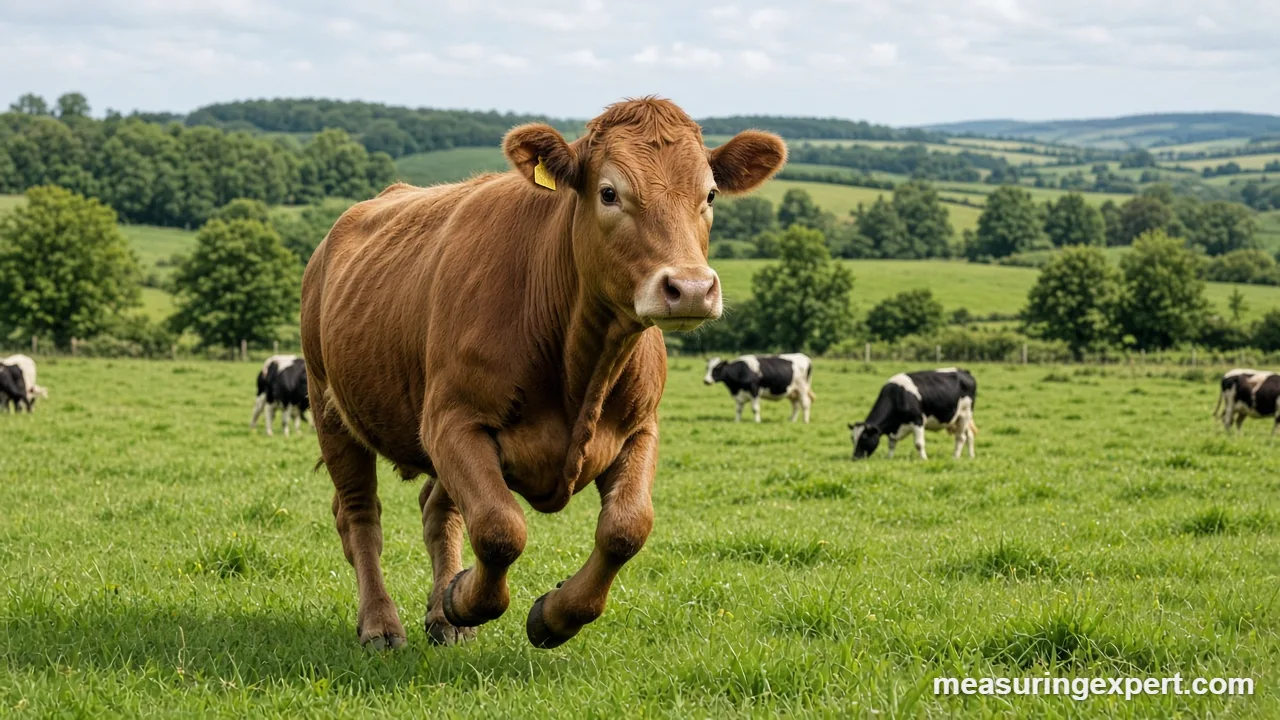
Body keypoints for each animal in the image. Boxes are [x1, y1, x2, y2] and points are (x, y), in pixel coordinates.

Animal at [300, 97, 786, 650]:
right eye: (609, 192)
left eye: (709, 194)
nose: (690, 287)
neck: (584, 368)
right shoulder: (452, 421)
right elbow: (499, 528)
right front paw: (466, 597)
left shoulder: (641, 427)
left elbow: (627, 528)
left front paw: (554, 615)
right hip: (329, 405)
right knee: (360, 516)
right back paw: (382, 624)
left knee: (436, 510)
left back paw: (444, 619)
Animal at [848, 368, 978, 460]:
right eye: (852, 438)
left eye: (864, 437)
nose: (855, 458)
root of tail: (964, 371)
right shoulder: (893, 429)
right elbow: (891, 444)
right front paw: (889, 458)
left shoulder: (918, 421)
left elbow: (919, 444)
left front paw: (924, 459)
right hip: (960, 418)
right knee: (970, 435)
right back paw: (971, 456)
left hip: (965, 414)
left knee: (961, 437)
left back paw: (955, 457)